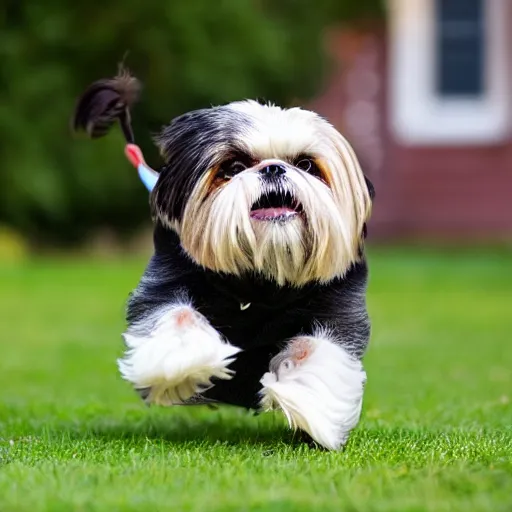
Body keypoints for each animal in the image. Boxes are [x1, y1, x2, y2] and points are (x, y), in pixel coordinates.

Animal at [72, 70, 374, 450]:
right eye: (234, 167)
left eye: (306, 164)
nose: (273, 168)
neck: (259, 281)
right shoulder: (161, 286)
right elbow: (179, 315)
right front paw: (186, 363)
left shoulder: (338, 310)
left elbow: (313, 347)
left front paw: (309, 409)